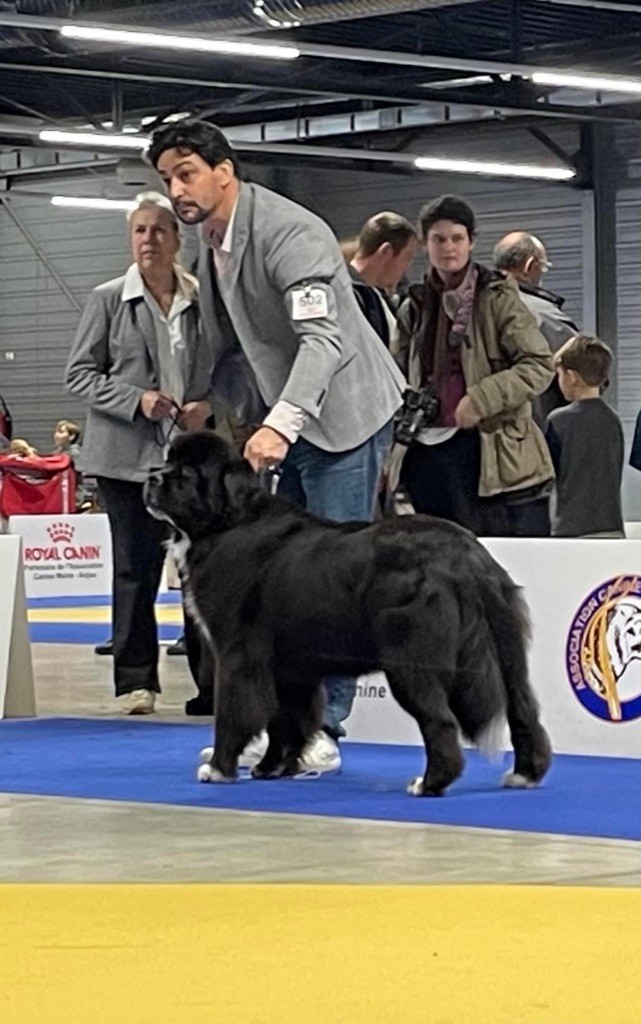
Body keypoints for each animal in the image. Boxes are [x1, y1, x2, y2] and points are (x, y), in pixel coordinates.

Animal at [144, 428, 548, 794]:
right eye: (169, 460)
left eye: (187, 471)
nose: (151, 476)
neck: (227, 522)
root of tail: (465, 555)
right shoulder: (289, 666)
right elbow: (286, 719)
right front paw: (272, 767)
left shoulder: (238, 654)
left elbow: (234, 713)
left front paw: (218, 768)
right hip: (507, 647)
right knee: (524, 710)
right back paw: (525, 774)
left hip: (411, 660)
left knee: (441, 721)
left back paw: (429, 783)